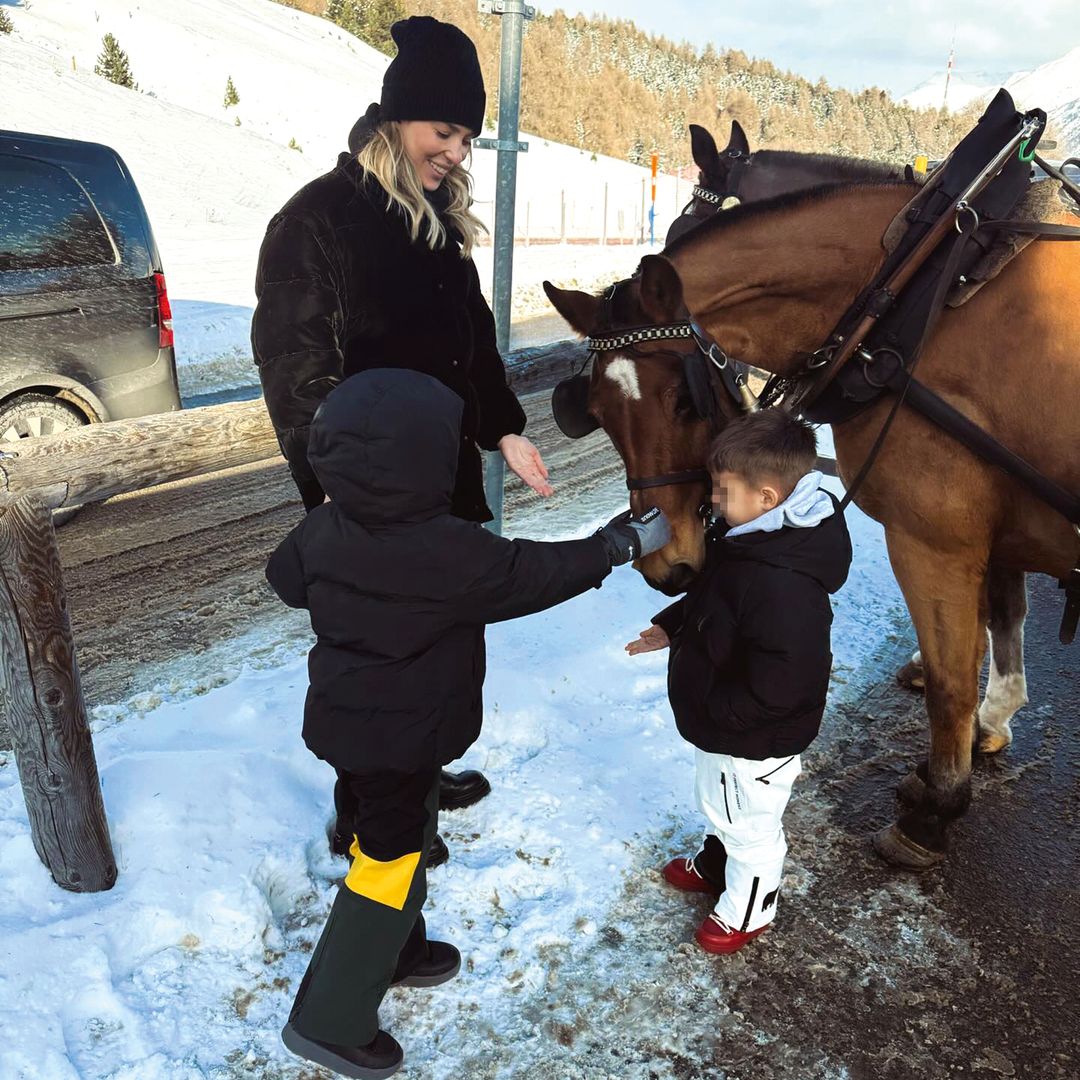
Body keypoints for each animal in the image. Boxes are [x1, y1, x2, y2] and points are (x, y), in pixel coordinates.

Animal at [548, 179, 1080, 868]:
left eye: (684, 399)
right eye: (600, 413)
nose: (666, 566)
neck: (909, 292)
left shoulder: (935, 540)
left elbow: (952, 680)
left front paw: (935, 808)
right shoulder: (992, 532)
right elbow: (1004, 616)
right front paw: (985, 731)